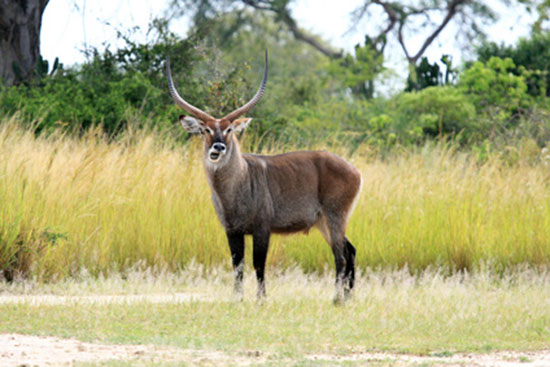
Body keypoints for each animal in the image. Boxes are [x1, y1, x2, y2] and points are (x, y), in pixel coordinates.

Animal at [166, 52, 364, 304]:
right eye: (206, 130)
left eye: (229, 129)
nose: (218, 147)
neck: (236, 185)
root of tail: (355, 171)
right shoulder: (232, 230)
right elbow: (237, 265)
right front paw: (237, 299)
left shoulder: (262, 228)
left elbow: (258, 264)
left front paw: (261, 299)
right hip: (323, 222)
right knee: (350, 250)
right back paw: (348, 297)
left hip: (335, 216)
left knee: (341, 256)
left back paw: (337, 299)